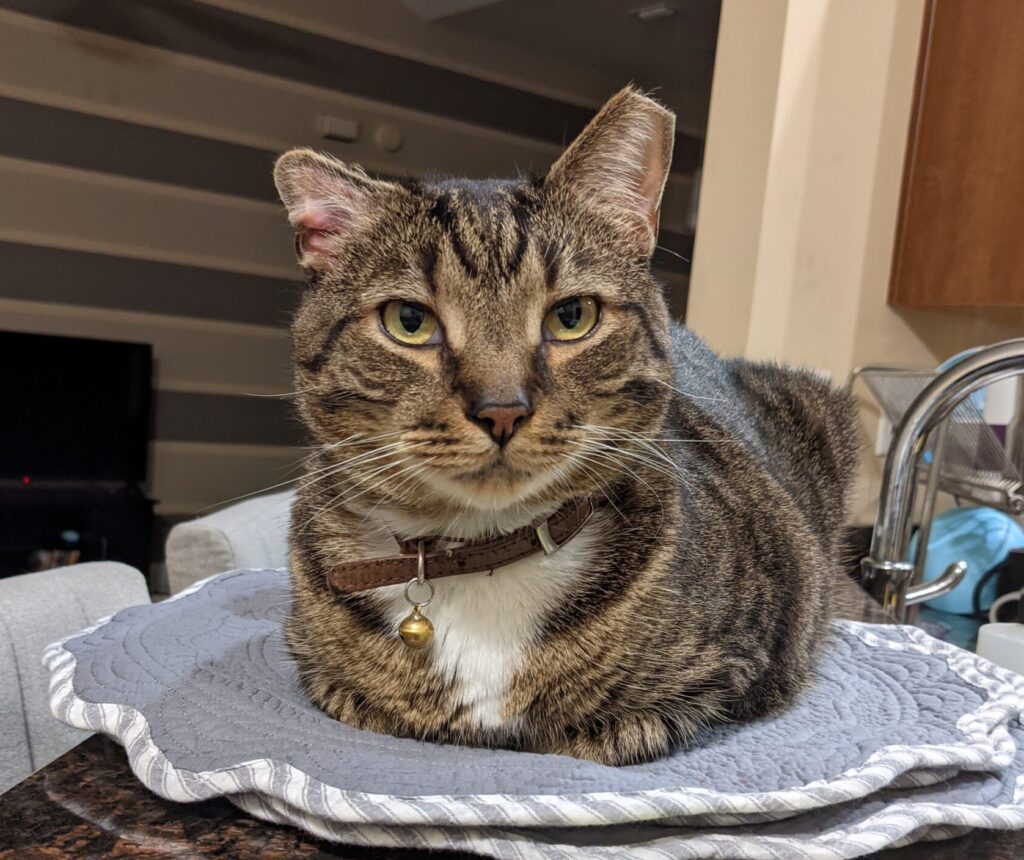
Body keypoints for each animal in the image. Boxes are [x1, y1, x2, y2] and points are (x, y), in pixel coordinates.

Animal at [272, 87, 856, 765]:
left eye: (572, 316)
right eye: (409, 321)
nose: (502, 407)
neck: (485, 548)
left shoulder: (734, 669)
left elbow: (602, 734)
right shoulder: (321, 674)